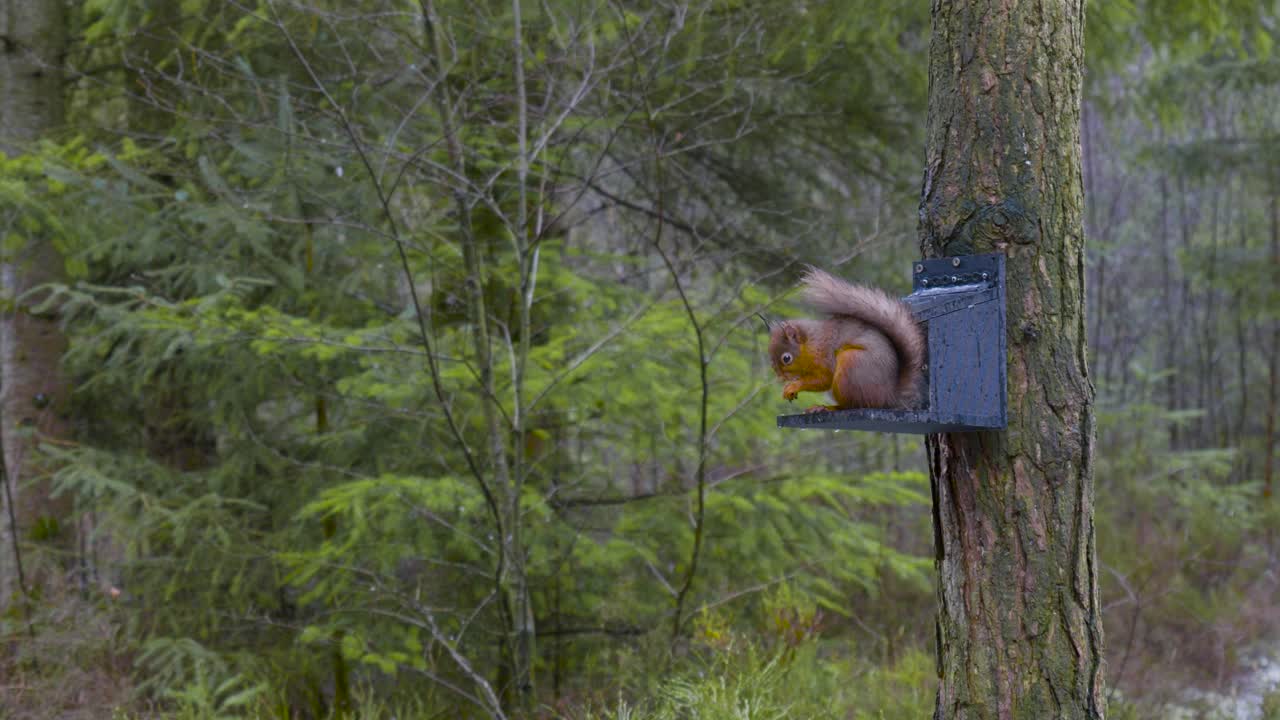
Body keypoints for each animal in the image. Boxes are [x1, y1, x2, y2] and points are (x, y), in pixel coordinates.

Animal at [766, 267, 925, 413]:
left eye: (786, 358)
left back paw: (826, 407)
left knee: (851, 405)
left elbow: (825, 379)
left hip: (851, 366)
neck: (810, 343)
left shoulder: (824, 355)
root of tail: (888, 397)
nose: (780, 377)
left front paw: (793, 386)